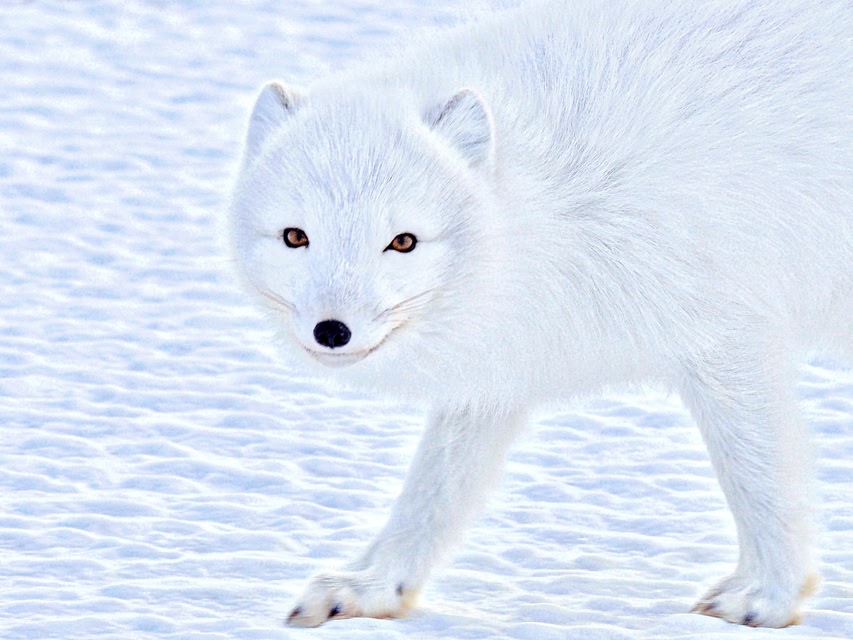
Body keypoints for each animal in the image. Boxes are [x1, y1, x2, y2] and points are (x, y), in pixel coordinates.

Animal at [228, 0, 853, 629]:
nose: (332, 331)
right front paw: (373, 586)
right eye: (295, 236)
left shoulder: (726, 339)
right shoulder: (499, 368)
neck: (553, 201)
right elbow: (432, 494)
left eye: (402, 242)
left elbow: (758, 477)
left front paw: (768, 596)